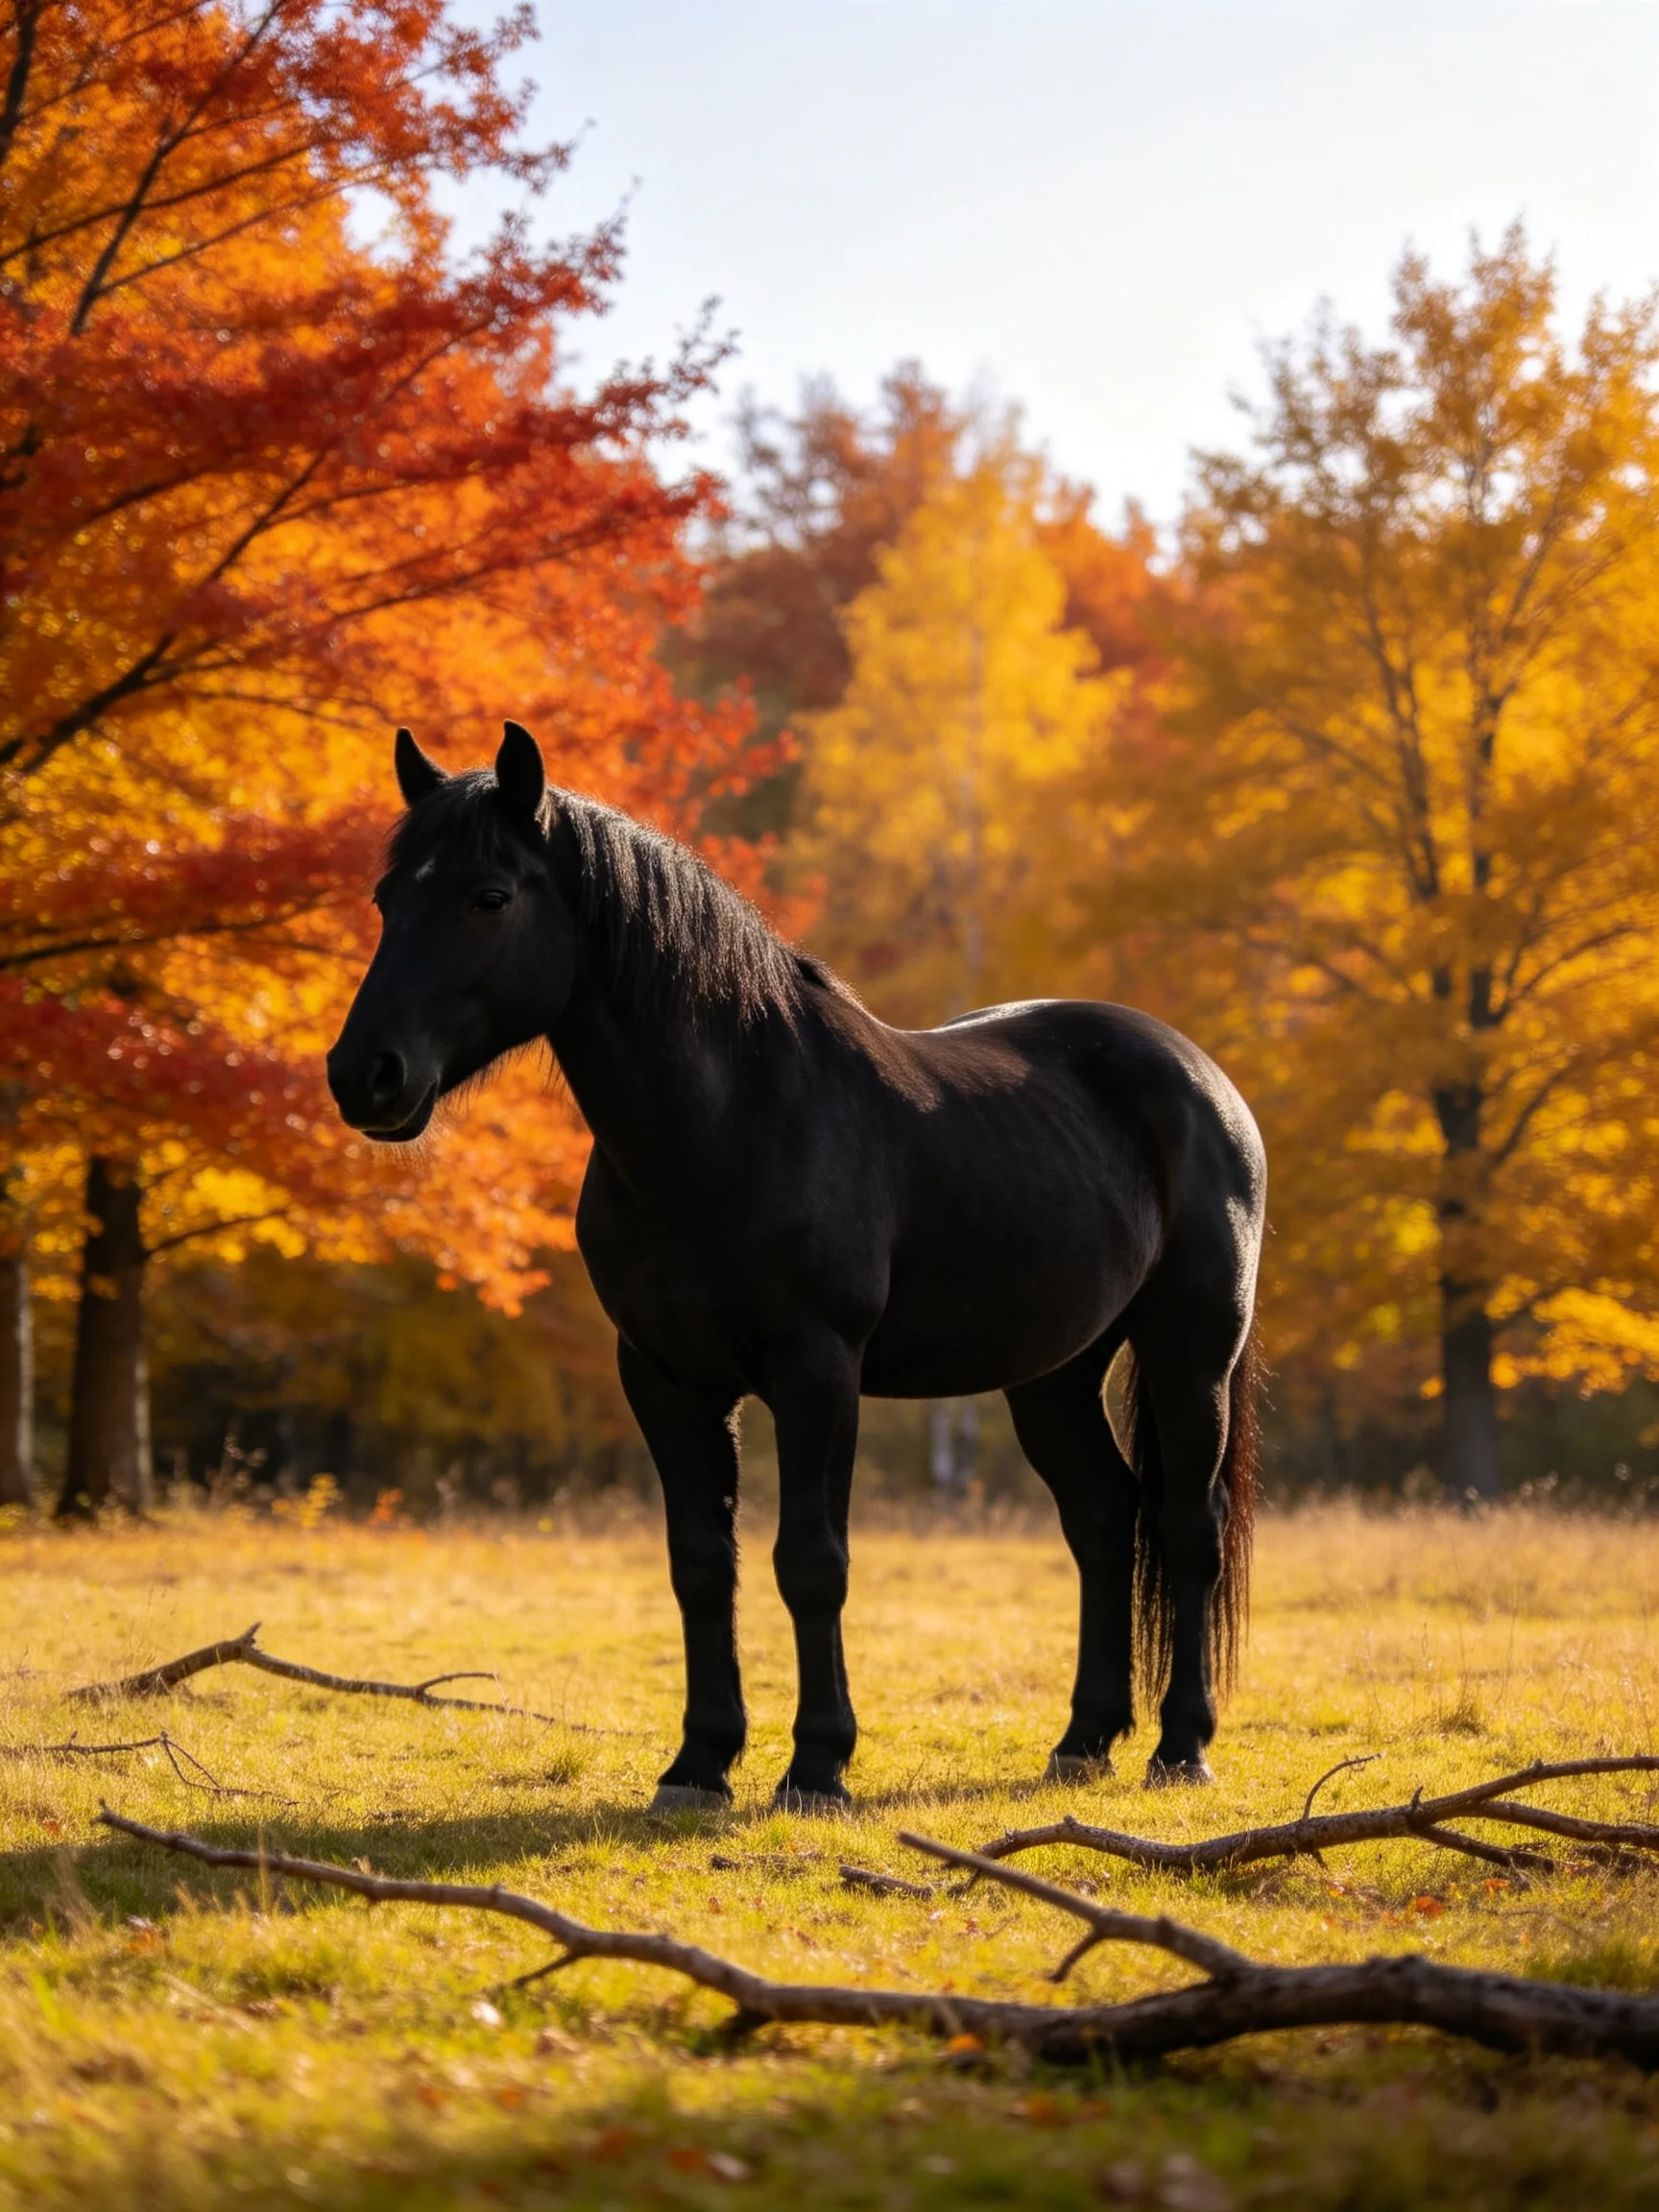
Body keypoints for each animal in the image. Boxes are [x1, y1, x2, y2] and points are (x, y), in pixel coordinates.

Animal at [327, 722, 1267, 1810]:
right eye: (388, 899)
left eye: (488, 896)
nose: (363, 1076)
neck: (729, 1121)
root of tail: (1204, 1080)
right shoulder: (665, 1377)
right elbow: (702, 1563)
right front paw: (699, 1765)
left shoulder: (818, 1371)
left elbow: (811, 1561)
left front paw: (817, 1763)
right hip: (1054, 1373)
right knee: (1104, 1519)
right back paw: (1083, 1740)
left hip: (1189, 1353)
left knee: (1188, 1527)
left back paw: (1180, 1747)